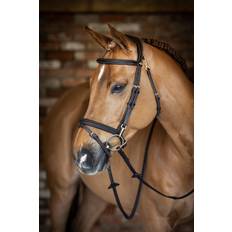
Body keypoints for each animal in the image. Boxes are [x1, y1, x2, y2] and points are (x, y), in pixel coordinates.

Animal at [42, 24, 193, 231]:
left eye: (118, 86)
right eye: (91, 83)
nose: (81, 156)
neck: (185, 158)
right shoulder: (155, 219)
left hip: (96, 197)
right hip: (61, 192)